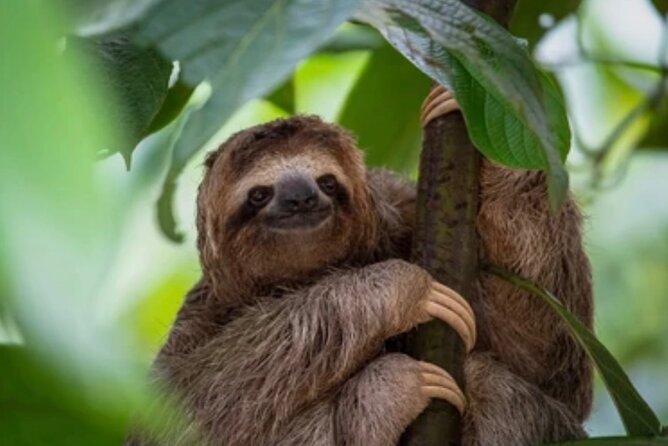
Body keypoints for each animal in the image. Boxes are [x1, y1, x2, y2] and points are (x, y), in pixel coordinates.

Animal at [125, 85, 593, 446]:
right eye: (259, 194)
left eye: (327, 181)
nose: (300, 197)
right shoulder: (201, 314)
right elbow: (181, 411)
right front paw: (399, 293)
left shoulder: (403, 210)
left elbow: (551, 361)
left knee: (490, 382)